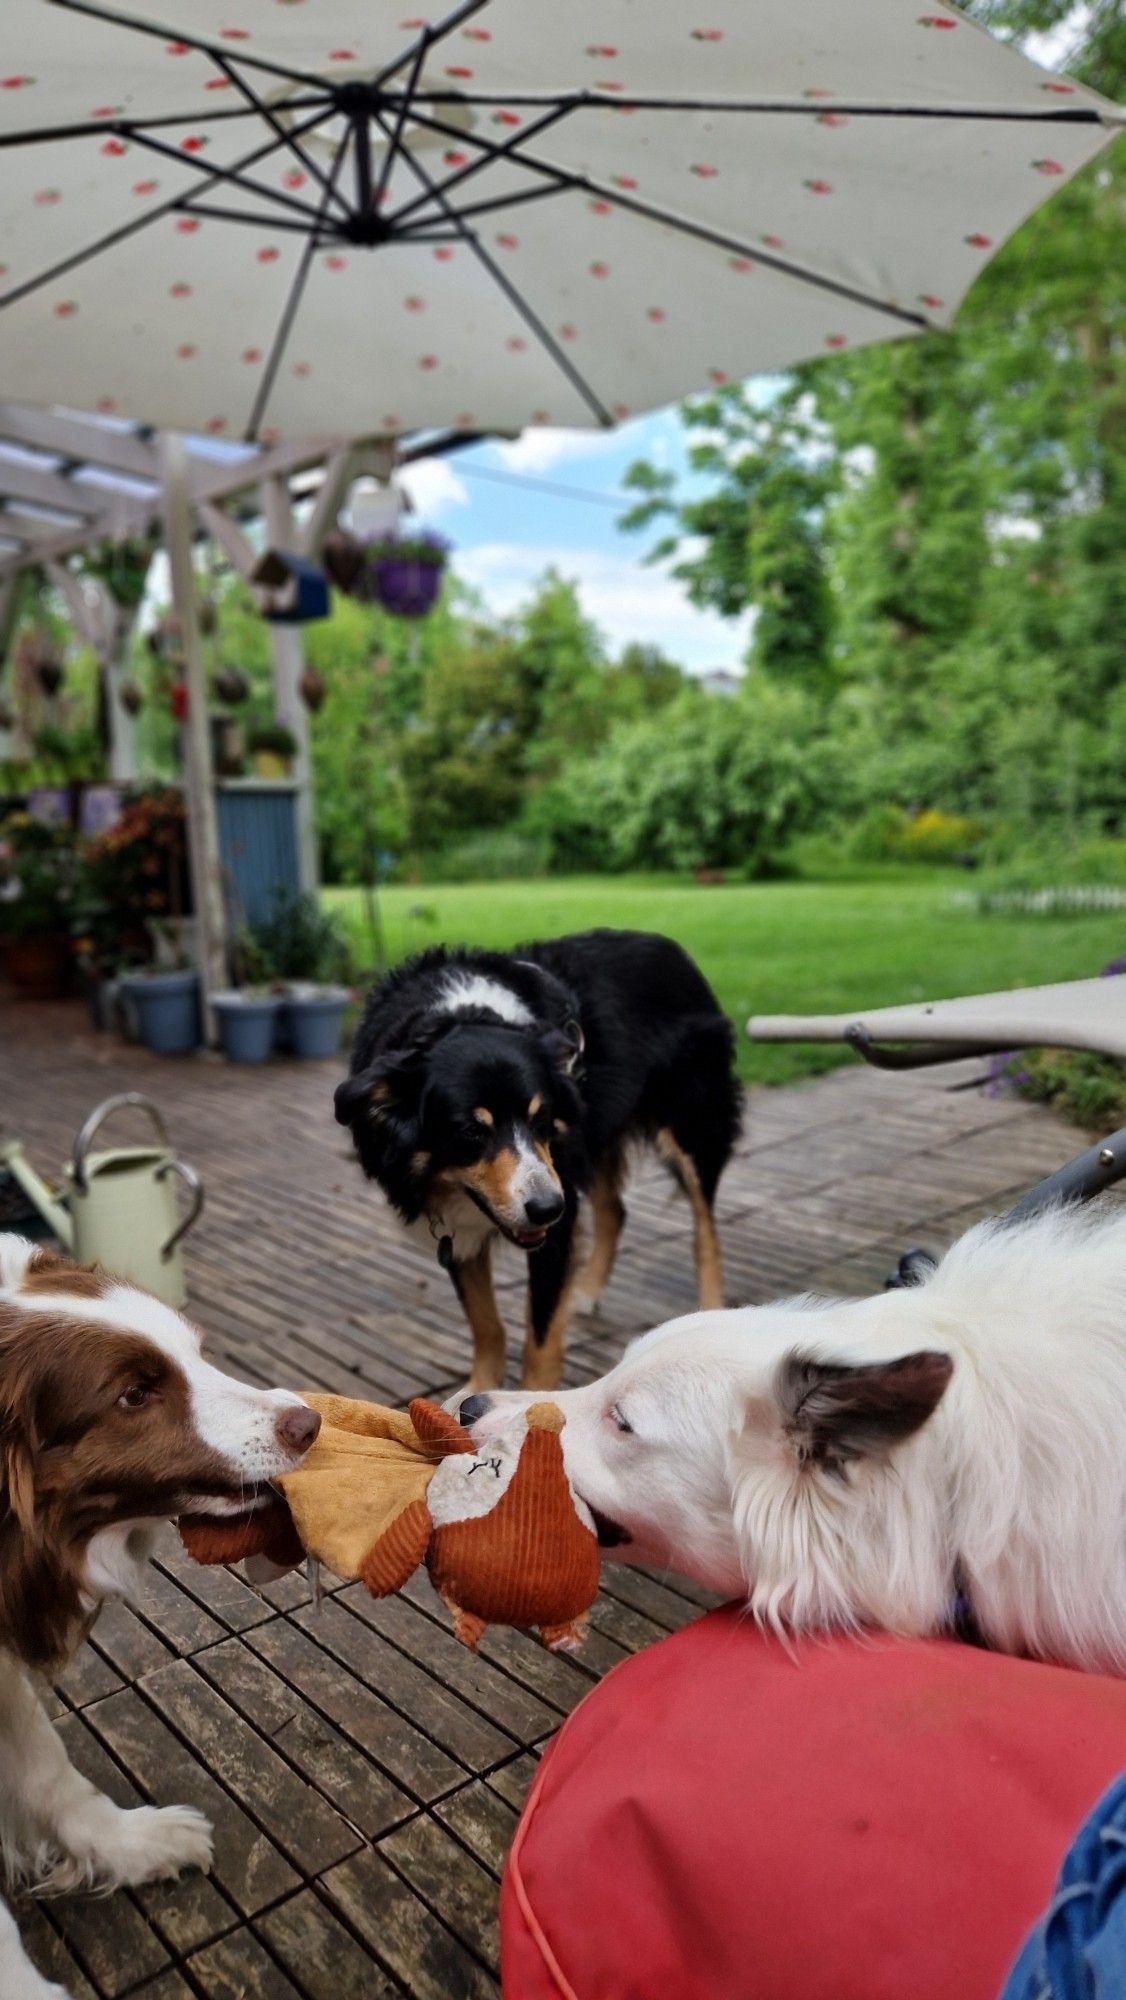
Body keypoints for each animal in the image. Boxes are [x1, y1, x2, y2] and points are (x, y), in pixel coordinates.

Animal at [332, 928, 740, 1384]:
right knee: (614, 1210)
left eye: (541, 1118)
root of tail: (669, 945)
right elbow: (485, 1322)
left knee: (705, 1230)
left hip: (693, 1127)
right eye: (471, 1131)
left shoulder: (556, 1216)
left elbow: (540, 1339)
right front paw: (477, 1386)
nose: (546, 1208)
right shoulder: (458, 1228)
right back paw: (587, 1293)